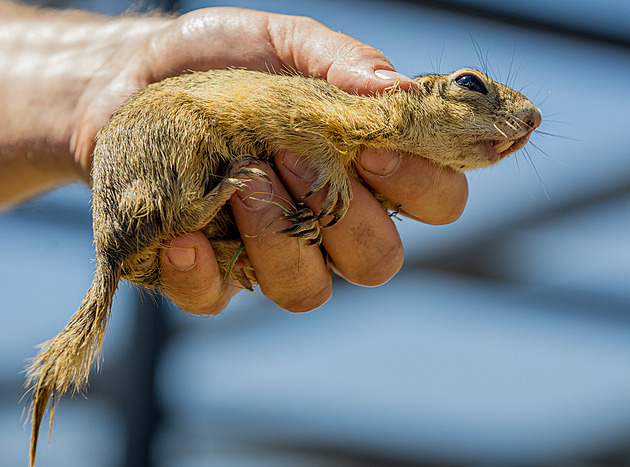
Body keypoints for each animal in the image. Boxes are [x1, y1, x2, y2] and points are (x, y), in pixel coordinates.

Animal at [22, 66, 540, 464]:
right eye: (470, 82)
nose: (535, 116)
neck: (377, 120)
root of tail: (107, 251)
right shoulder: (299, 110)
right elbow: (308, 135)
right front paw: (335, 180)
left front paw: (314, 225)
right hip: (181, 141)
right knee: (179, 212)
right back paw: (230, 185)